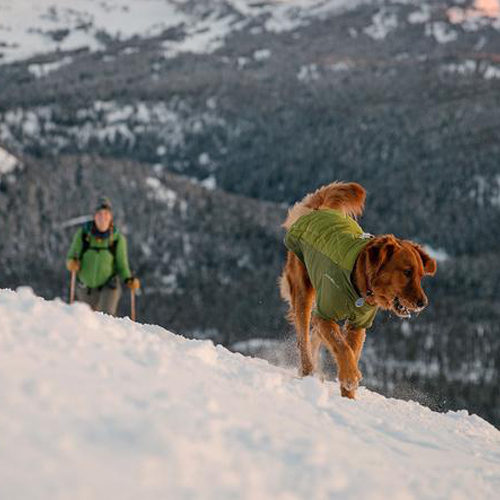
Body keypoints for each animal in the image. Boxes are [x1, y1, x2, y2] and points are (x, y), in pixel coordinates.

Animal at [280, 181, 436, 398]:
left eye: (421, 275)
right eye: (407, 272)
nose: (423, 303)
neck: (360, 288)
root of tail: (319, 209)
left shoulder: (359, 324)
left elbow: (350, 349)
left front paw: (348, 395)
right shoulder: (325, 314)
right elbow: (342, 347)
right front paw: (351, 377)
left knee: (314, 335)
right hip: (304, 292)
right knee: (303, 337)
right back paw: (308, 371)